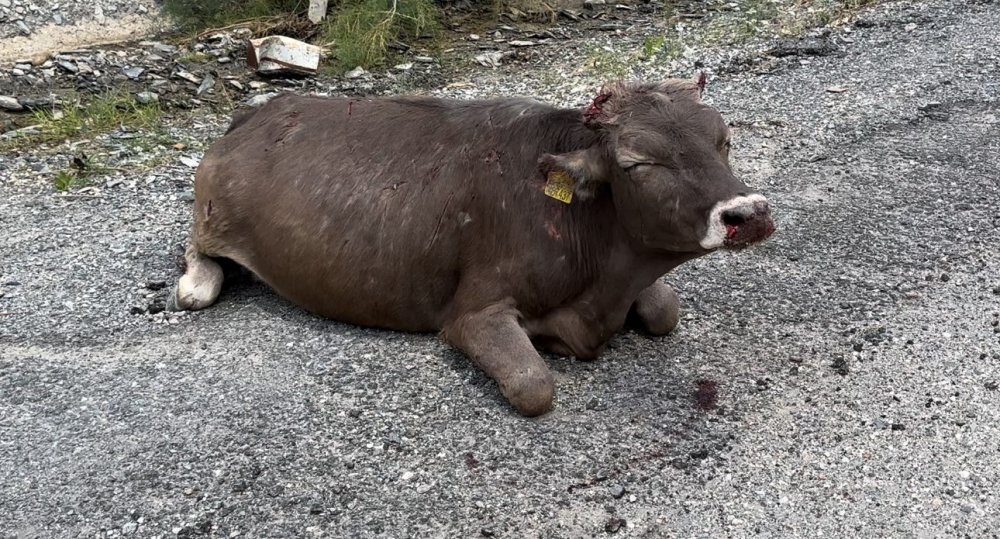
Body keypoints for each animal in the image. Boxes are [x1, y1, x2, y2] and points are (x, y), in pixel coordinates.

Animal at [168, 73, 772, 418]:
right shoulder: (473, 310)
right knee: (197, 251)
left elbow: (666, 309)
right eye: (637, 162)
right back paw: (197, 282)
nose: (747, 213)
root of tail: (259, 110)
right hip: (212, 206)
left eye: (723, 140)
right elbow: (533, 386)